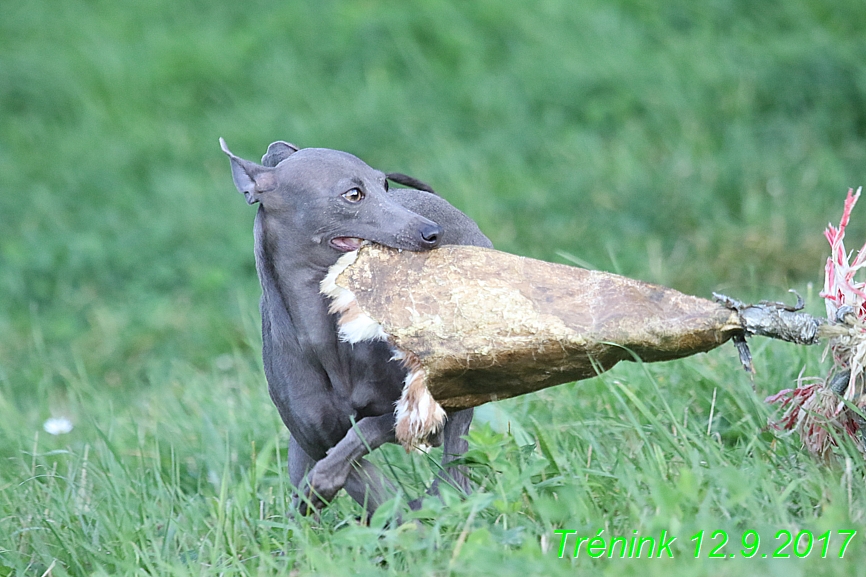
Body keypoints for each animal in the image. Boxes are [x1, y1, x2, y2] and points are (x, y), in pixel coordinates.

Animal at [219, 138, 490, 512]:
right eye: (353, 195)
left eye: (385, 184)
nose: (432, 232)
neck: (324, 336)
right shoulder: (315, 433)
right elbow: (362, 481)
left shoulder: (416, 405)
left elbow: (367, 432)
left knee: (454, 460)